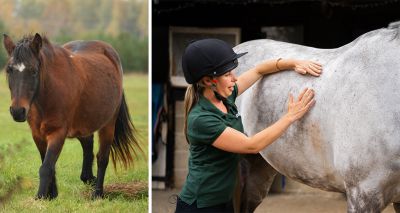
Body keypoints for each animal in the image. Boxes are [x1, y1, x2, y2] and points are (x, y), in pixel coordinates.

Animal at [1, 33, 141, 200]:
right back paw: (89, 178)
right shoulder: (37, 135)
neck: (49, 95)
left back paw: (97, 193)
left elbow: (46, 167)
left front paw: (40, 197)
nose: (17, 111)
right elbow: (47, 163)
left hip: (108, 124)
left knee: (102, 158)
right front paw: (51, 195)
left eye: (34, 71)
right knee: (88, 145)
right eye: (9, 70)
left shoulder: (58, 132)